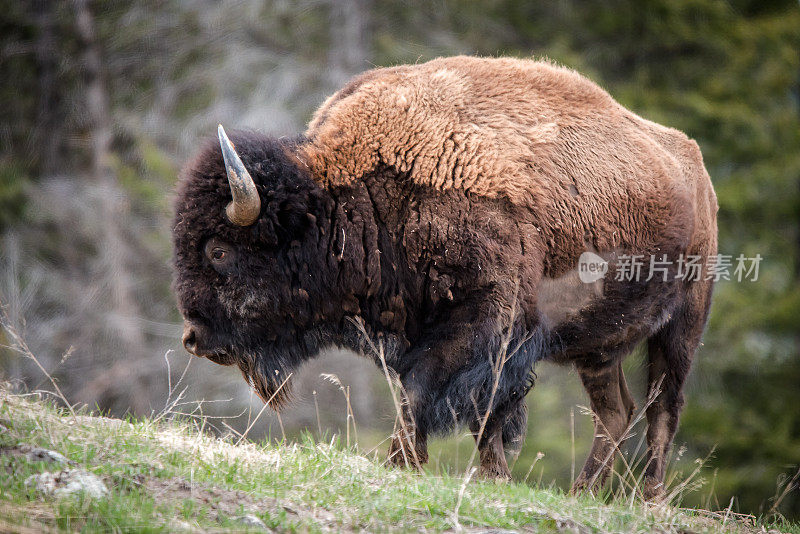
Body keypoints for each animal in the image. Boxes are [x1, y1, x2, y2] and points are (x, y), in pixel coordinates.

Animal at [173, 57, 720, 502]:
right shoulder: (429, 335)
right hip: (599, 349)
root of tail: (696, 169)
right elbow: (464, 409)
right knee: (616, 412)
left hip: (683, 325)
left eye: (218, 250)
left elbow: (433, 396)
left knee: (663, 410)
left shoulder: (485, 324)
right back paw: (583, 492)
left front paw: (401, 464)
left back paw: (649, 500)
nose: (194, 338)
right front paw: (485, 476)